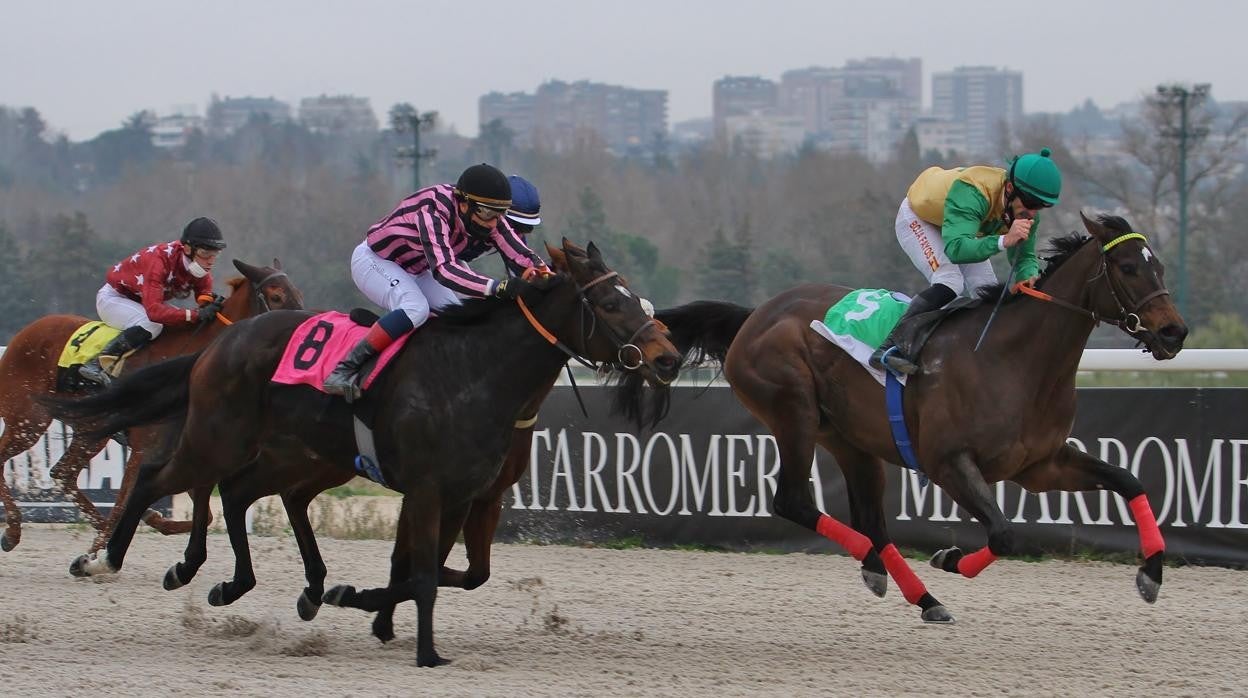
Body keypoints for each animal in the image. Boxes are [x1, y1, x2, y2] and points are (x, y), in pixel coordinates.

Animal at [0, 260, 302, 551]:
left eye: (297, 294)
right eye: (276, 296)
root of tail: (24, 334)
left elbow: (202, 514)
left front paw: (151, 521)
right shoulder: (144, 449)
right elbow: (123, 503)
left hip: (90, 431)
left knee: (63, 473)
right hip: (28, 420)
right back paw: (12, 531)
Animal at [48, 238, 678, 664]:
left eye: (638, 299)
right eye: (613, 304)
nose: (667, 357)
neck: (474, 374)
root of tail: (218, 343)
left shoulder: (464, 494)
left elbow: (439, 572)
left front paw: (356, 601)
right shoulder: (426, 489)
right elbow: (422, 573)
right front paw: (424, 651)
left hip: (285, 453)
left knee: (239, 492)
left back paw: (241, 583)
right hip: (218, 438)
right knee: (158, 477)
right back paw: (110, 560)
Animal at [619, 213, 1183, 621]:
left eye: (1159, 265)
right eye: (1128, 268)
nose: (1174, 332)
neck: (1013, 359)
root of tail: (754, 316)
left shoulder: (1041, 466)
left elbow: (1129, 480)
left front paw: (1152, 574)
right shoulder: (948, 462)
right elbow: (1003, 533)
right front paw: (948, 557)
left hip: (851, 439)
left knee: (871, 519)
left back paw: (916, 593)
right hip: (793, 412)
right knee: (795, 501)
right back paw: (881, 567)